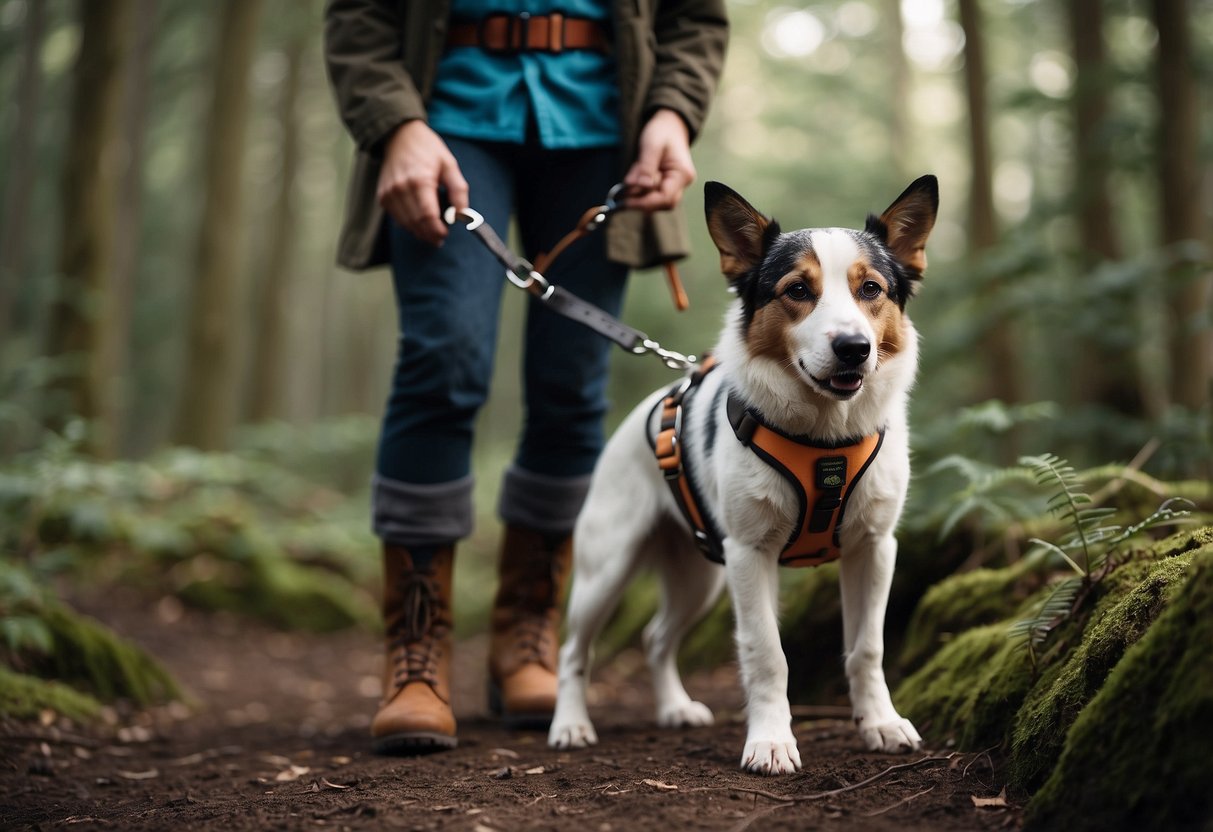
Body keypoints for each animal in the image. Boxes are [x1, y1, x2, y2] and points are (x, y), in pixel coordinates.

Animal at [550, 175, 936, 776]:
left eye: (871, 288)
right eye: (798, 290)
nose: (854, 348)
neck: (824, 438)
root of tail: (642, 417)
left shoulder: (874, 547)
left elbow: (867, 647)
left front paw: (880, 722)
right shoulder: (751, 554)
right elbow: (766, 653)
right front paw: (771, 741)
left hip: (700, 577)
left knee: (656, 637)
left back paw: (675, 708)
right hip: (608, 569)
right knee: (574, 650)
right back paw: (569, 724)